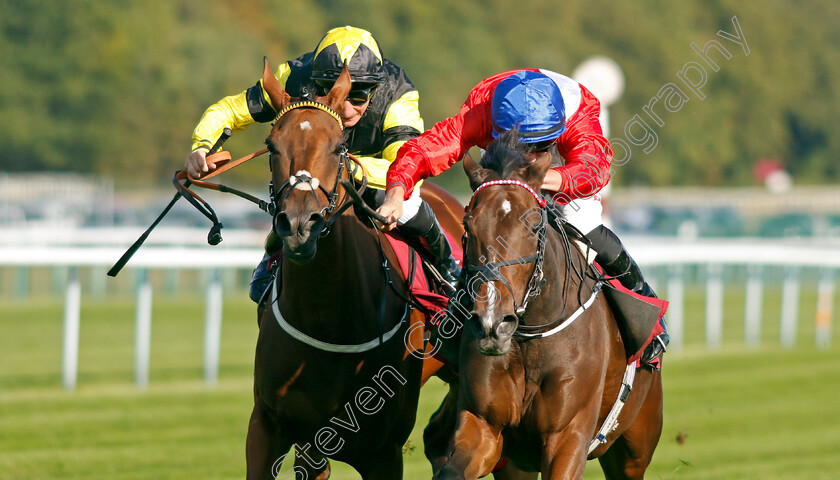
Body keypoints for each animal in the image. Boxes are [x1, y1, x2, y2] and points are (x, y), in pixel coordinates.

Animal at [426, 129, 664, 478]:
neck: (530, 338)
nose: (492, 324)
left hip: (634, 446)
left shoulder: (567, 436)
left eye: (535, 225)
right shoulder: (483, 427)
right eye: (468, 224)